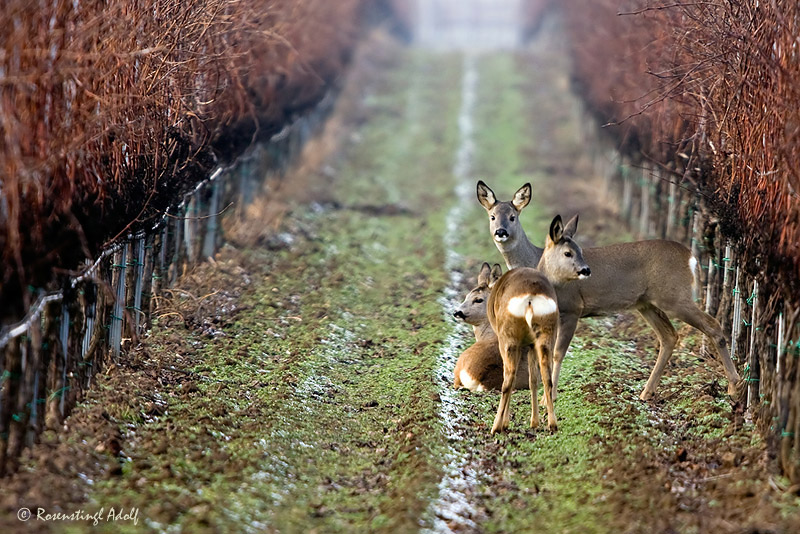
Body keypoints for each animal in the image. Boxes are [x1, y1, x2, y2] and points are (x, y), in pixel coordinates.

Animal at [476, 181, 744, 402]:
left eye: (513, 217)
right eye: (492, 216)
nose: (501, 232)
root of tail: (691, 257)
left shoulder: (572, 308)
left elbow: (557, 353)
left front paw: (547, 398)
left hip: (675, 296)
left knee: (712, 325)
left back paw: (734, 387)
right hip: (647, 303)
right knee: (669, 336)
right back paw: (646, 393)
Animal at [484, 214, 592, 436]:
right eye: (569, 252)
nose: (586, 270)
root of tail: (531, 297)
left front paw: (508, 422)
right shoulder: (531, 343)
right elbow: (533, 379)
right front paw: (534, 421)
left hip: (509, 337)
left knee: (508, 379)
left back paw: (496, 426)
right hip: (545, 333)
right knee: (546, 376)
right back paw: (552, 423)